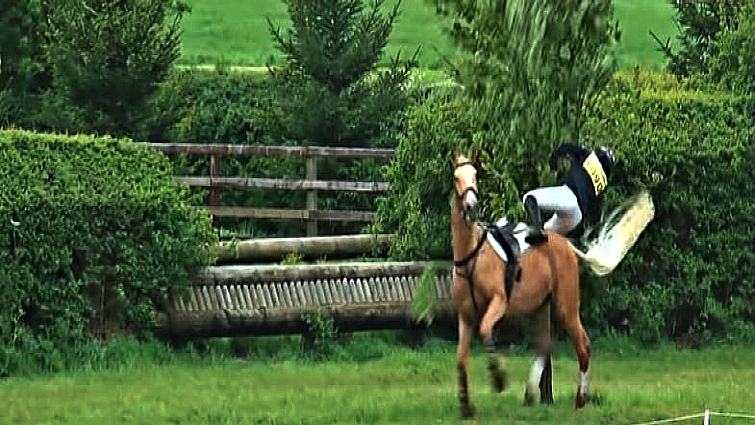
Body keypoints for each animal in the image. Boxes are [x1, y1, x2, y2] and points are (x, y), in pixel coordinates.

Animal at [451, 152, 651, 419]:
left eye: (475, 175)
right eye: (456, 177)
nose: (471, 206)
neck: (472, 255)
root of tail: (567, 245)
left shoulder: (498, 304)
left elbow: (485, 332)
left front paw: (498, 379)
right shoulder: (465, 316)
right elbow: (461, 359)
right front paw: (466, 407)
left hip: (566, 306)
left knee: (582, 345)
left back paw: (579, 400)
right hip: (540, 307)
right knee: (545, 346)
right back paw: (531, 394)